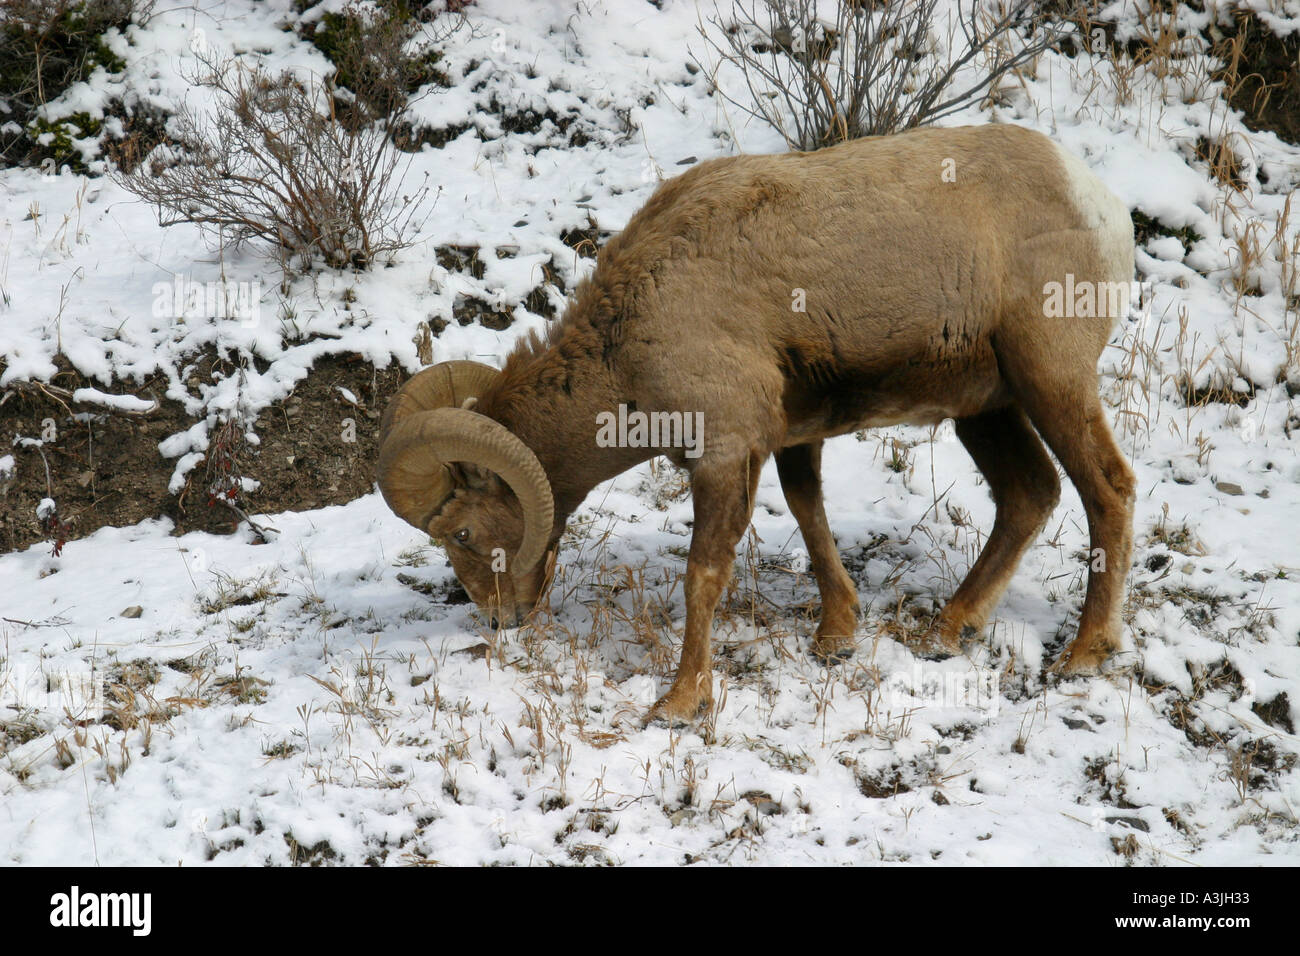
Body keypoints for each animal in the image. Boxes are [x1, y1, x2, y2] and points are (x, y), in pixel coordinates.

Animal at [379, 125, 1138, 723]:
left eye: (461, 533)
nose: (500, 620)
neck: (631, 337)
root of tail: (1102, 206)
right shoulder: (787, 436)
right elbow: (808, 512)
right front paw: (836, 636)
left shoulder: (722, 451)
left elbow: (703, 573)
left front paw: (681, 703)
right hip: (986, 406)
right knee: (1029, 494)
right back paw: (948, 631)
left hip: (1051, 380)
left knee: (1107, 488)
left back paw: (1083, 655)